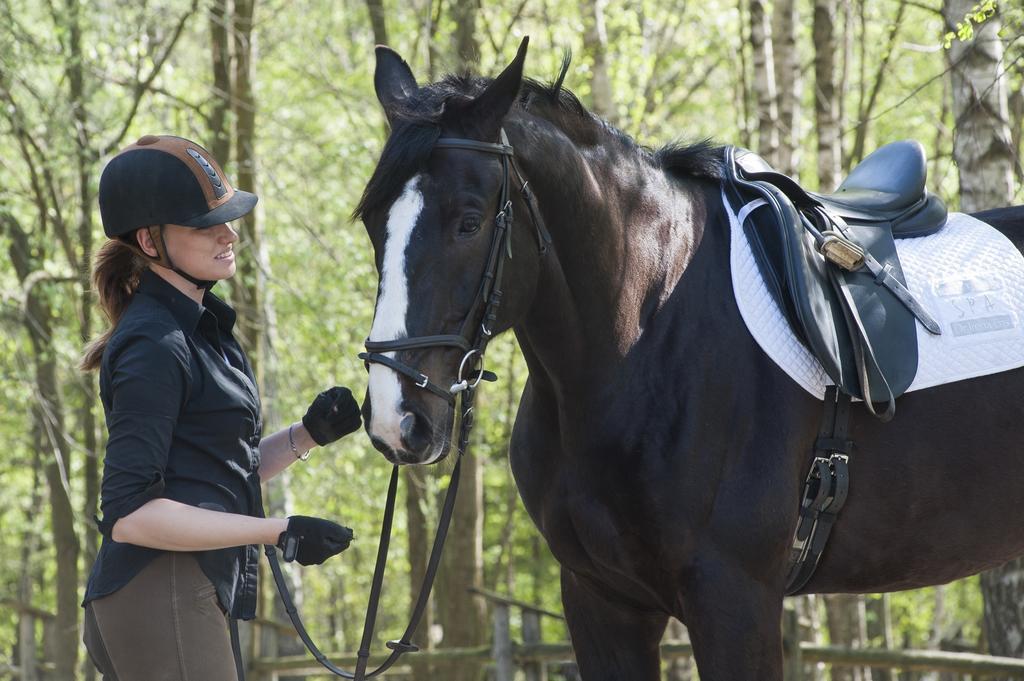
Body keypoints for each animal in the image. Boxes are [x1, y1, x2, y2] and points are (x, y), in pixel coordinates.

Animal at [354, 39, 1024, 675]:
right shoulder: (600, 602)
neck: (645, 345)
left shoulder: (734, 600)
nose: (396, 420)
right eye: (372, 223)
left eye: (469, 222)